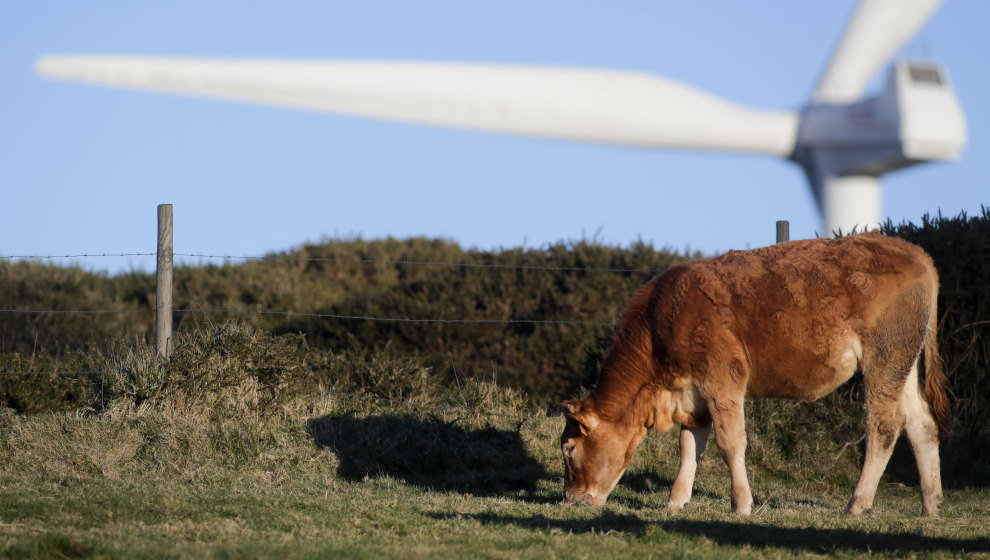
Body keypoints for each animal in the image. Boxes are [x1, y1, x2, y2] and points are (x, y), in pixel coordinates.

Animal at [560, 231, 948, 516]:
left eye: (569, 449)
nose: (569, 498)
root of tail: (913, 251)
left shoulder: (722, 379)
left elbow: (730, 443)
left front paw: (742, 505)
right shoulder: (693, 394)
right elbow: (689, 447)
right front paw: (676, 501)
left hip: (885, 357)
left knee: (884, 426)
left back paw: (857, 504)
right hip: (903, 364)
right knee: (921, 425)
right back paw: (931, 507)